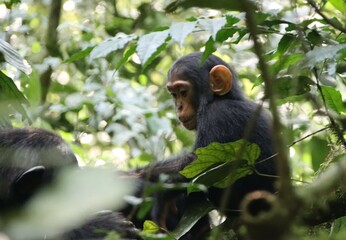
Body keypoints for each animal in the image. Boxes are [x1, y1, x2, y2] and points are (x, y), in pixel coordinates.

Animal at [134, 52, 278, 234]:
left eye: (183, 92)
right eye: (174, 94)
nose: (179, 107)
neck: (217, 99)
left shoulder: (216, 116)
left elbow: (198, 166)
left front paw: (162, 194)